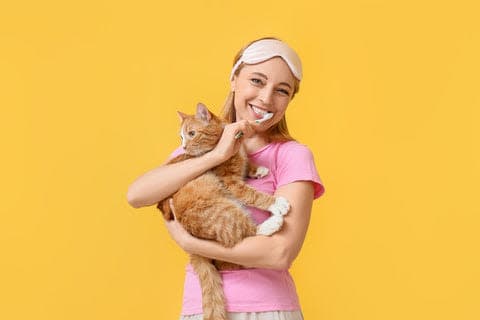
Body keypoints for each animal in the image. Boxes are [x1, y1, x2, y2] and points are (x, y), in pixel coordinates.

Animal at [158, 102, 288, 320]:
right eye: (181, 137)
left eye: (191, 134)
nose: (183, 147)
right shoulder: (231, 184)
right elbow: (253, 195)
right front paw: (277, 203)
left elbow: (247, 164)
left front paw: (257, 169)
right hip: (225, 211)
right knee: (244, 233)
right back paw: (272, 223)